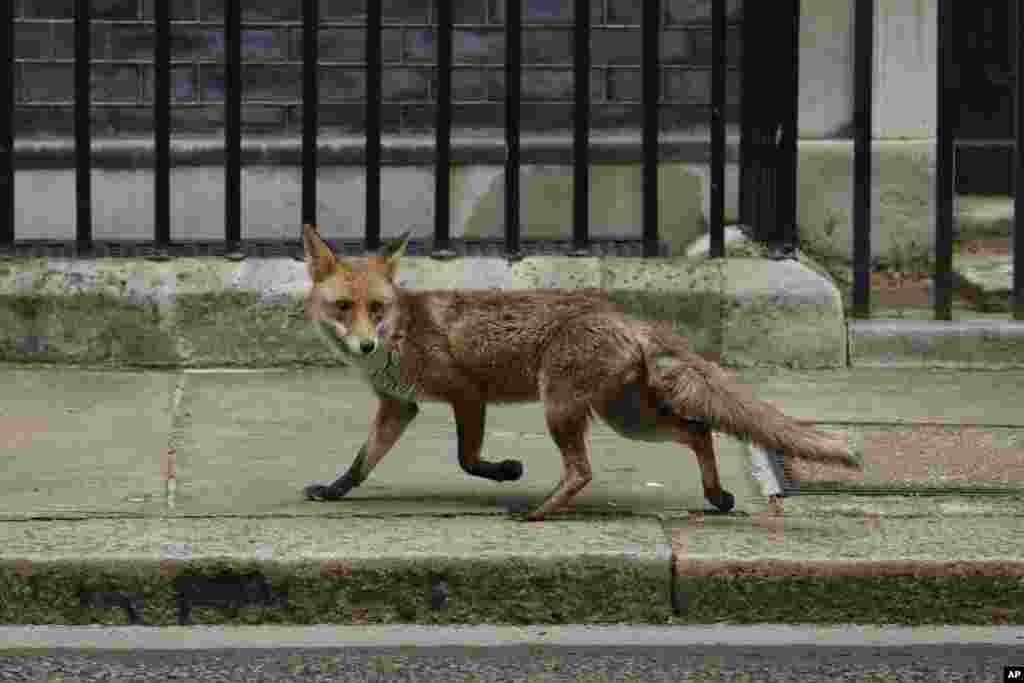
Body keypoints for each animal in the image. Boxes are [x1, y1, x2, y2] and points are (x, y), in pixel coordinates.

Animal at [299, 222, 860, 520]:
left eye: (377, 307)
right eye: (344, 307)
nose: (366, 344)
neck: (402, 334)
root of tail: (622, 315)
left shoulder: (466, 393)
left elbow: (467, 459)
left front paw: (506, 471)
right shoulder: (399, 405)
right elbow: (362, 462)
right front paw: (333, 491)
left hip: (563, 408)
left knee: (583, 470)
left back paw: (538, 512)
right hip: (628, 418)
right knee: (698, 430)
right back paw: (716, 496)